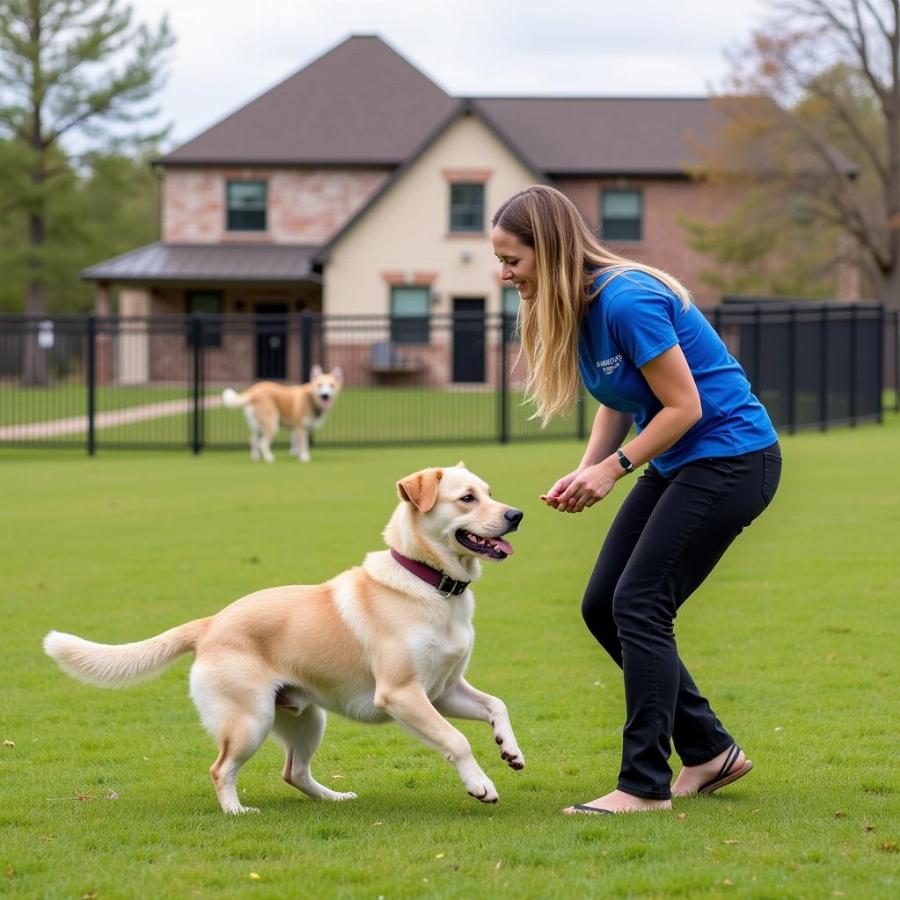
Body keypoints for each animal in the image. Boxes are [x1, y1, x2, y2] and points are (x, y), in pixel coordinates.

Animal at [44, 464, 528, 816]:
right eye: (467, 498)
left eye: (489, 492)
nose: (516, 515)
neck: (429, 584)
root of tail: (211, 623)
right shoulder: (403, 694)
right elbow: (456, 740)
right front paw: (480, 785)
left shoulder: (443, 691)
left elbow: (497, 705)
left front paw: (509, 749)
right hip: (250, 721)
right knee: (220, 769)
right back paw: (236, 812)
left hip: (307, 718)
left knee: (293, 772)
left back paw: (335, 798)